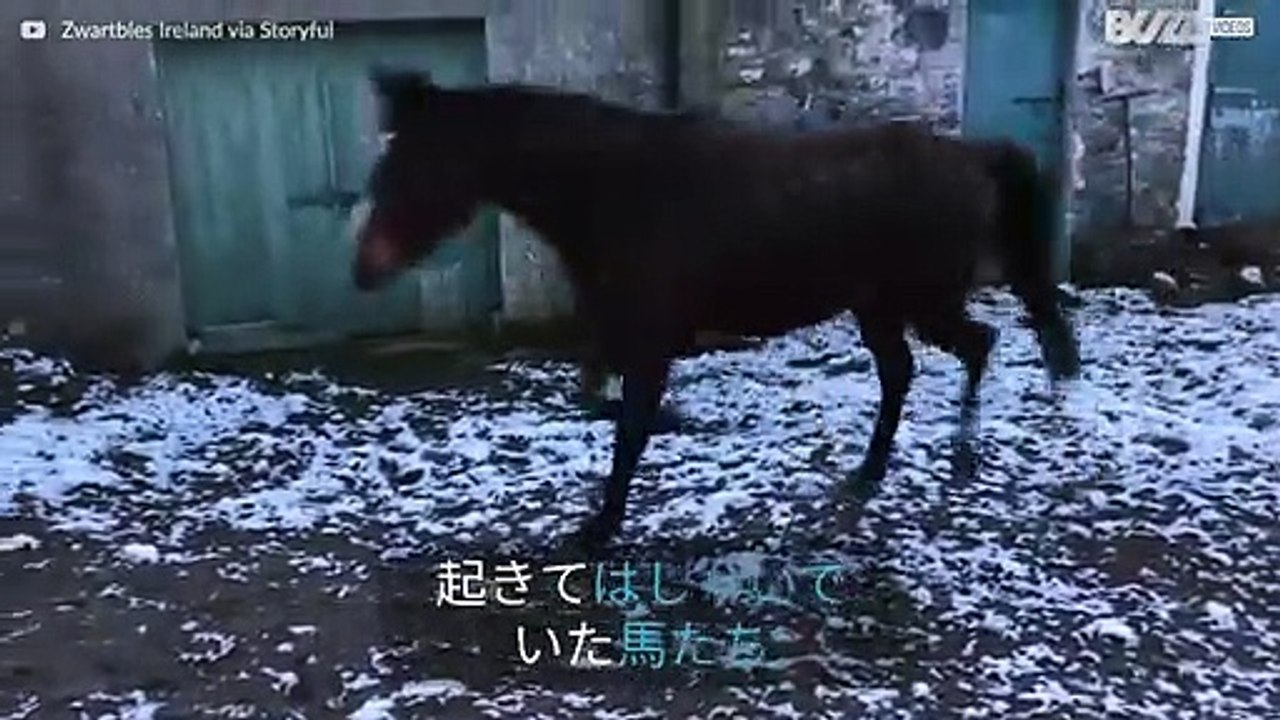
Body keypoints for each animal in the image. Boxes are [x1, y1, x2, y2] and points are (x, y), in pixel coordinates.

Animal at [351, 68, 1081, 554]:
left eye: (418, 165)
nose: (364, 271)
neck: (613, 191)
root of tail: (973, 154)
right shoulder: (615, 331)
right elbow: (599, 404)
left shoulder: (648, 337)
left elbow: (629, 429)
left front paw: (598, 528)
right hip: (877, 306)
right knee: (903, 371)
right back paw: (868, 472)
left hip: (922, 299)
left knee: (978, 343)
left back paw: (960, 455)